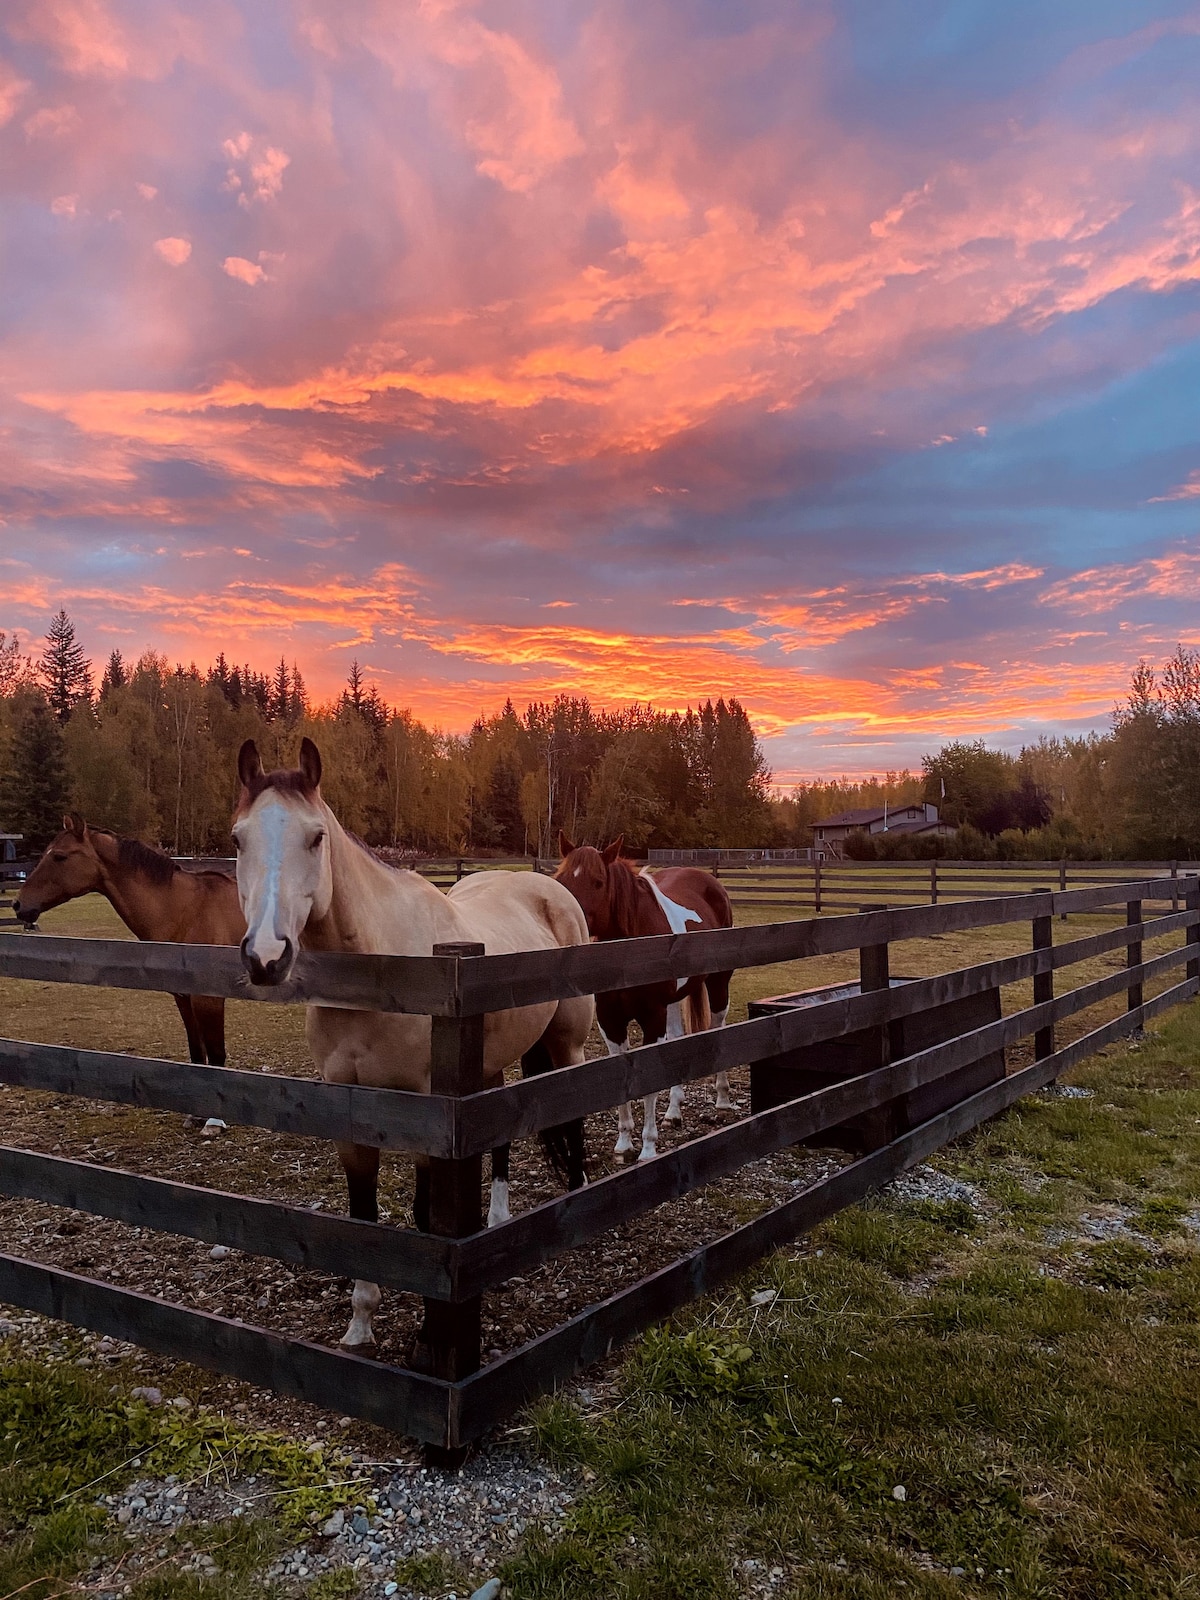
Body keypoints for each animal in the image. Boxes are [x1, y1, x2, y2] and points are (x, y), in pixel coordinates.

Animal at [14, 819, 246, 1068]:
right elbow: (197, 1056)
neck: (188, 910)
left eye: (59, 856)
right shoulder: (184, 999)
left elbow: (216, 1060)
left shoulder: (209, 1001)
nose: (19, 904)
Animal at [232, 736, 595, 1350]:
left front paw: (431, 1333)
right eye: (238, 839)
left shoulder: (429, 1112)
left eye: (316, 836)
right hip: (488, 1067)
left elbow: (427, 1221)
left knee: (573, 1117)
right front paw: (360, 1323)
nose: (266, 956)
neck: (383, 971)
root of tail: (550, 886)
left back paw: (577, 1204)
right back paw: (495, 1223)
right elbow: (363, 1218)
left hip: (567, 1045)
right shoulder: (351, 1110)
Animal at [560, 838, 739, 1164]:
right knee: (677, 1039)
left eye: (598, 881)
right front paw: (623, 1145)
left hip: (718, 983)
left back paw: (722, 1098)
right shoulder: (611, 1022)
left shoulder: (652, 1019)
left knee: (719, 1028)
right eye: (562, 879)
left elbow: (648, 1084)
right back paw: (673, 1112)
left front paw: (647, 1147)